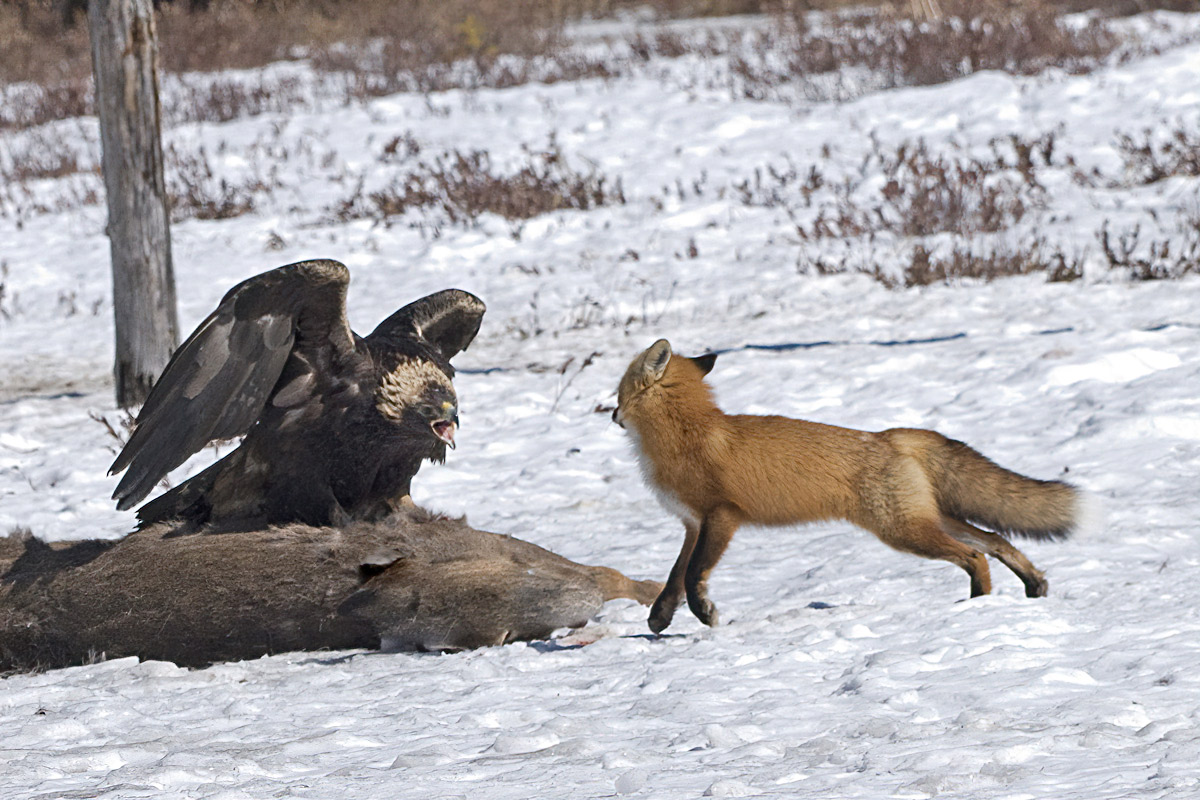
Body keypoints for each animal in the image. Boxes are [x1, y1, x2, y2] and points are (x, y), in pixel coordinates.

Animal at [613, 339, 1085, 633]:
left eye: (616, 392)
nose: (612, 415)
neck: (685, 433)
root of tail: (890, 435)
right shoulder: (692, 524)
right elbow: (673, 579)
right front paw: (659, 620)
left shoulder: (722, 518)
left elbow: (693, 577)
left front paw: (706, 615)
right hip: (927, 520)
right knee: (997, 540)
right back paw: (1031, 586)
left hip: (903, 532)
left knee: (976, 555)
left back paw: (978, 603)